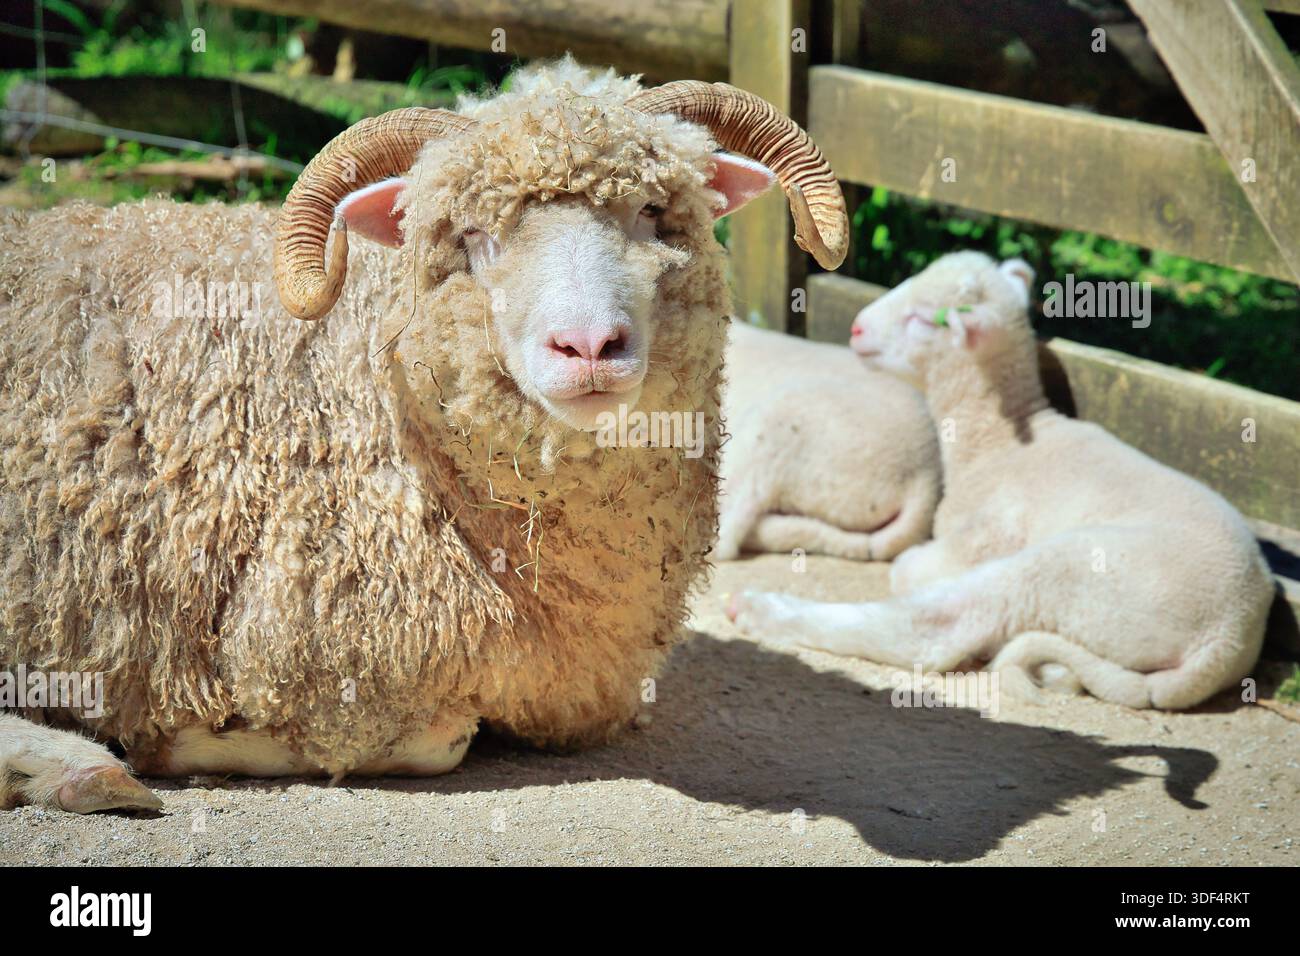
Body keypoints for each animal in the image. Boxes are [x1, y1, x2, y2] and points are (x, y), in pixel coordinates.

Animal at [0, 58, 848, 812]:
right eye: (473, 233)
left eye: (651, 213)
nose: (588, 347)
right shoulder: (317, 651)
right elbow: (438, 739)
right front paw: (183, 739)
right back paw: (82, 768)